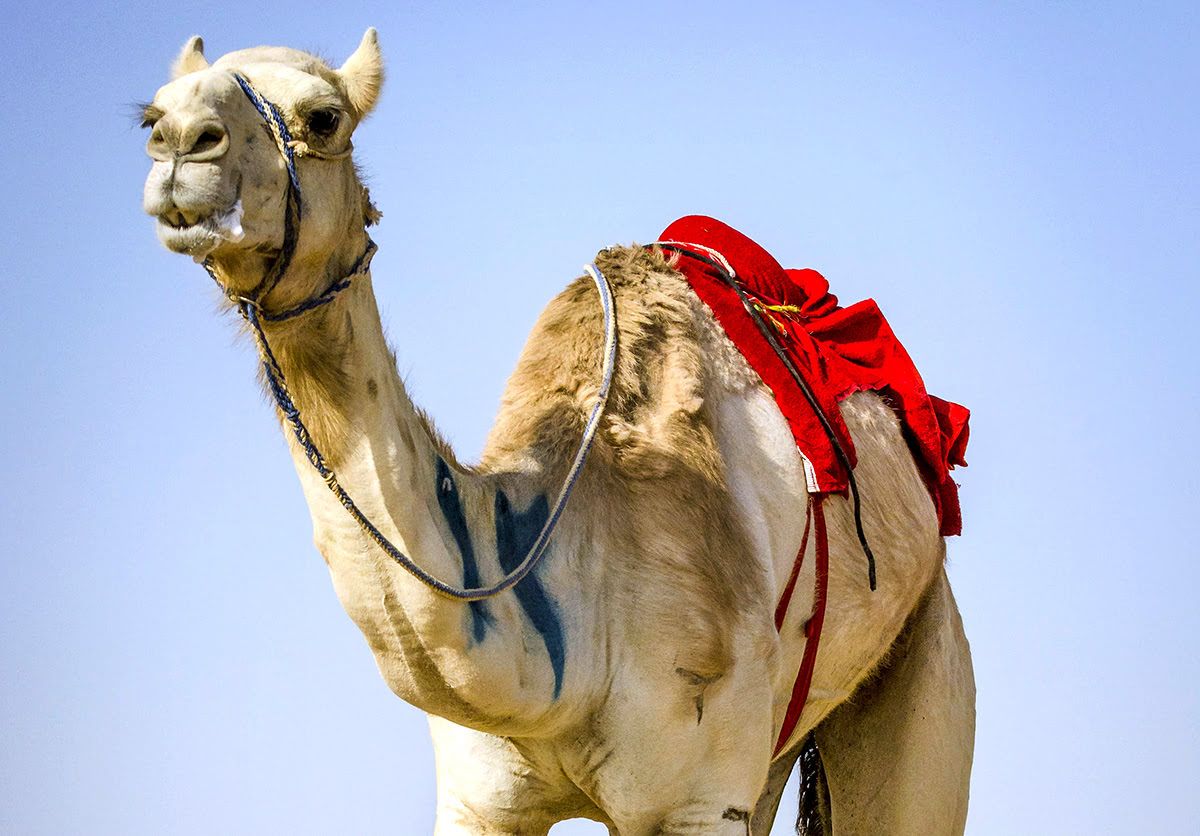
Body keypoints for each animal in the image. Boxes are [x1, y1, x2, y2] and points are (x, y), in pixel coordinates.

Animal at [138, 29, 974, 830]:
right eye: (151, 115)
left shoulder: (698, 796)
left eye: (324, 119)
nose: (180, 141)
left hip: (925, 648)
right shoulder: (477, 797)